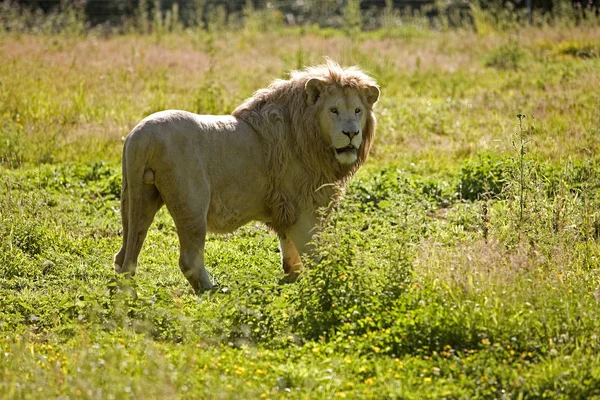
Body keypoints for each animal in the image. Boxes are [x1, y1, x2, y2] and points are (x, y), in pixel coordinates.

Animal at [112, 59, 380, 292]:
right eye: (334, 110)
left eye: (357, 110)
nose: (351, 133)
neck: (311, 137)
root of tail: (141, 136)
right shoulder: (304, 207)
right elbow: (313, 251)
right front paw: (327, 279)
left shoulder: (287, 207)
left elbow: (288, 246)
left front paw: (293, 276)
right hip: (191, 203)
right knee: (188, 259)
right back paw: (212, 291)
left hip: (137, 197)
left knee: (126, 252)